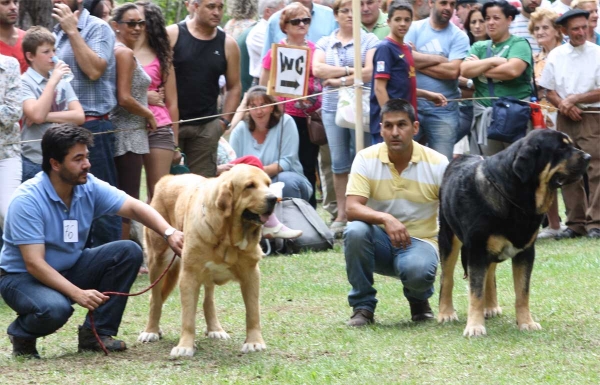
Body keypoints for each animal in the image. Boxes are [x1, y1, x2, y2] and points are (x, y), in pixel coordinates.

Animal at [138, 164, 276, 356]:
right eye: (249, 186)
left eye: (268, 184)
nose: (274, 198)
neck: (227, 237)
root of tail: (167, 178)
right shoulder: (189, 275)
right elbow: (188, 317)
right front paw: (185, 346)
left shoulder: (251, 274)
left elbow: (253, 311)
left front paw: (254, 342)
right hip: (157, 261)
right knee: (155, 299)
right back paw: (150, 331)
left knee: (208, 300)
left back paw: (215, 329)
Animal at [436, 129, 592, 336]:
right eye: (560, 148)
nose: (589, 157)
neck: (515, 197)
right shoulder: (477, 250)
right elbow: (475, 292)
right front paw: (475, 326)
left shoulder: (525, 252)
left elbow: (522, 292)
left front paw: (526, 322)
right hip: (449, 238)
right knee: (447, 277)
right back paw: (445, 313)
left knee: (490, 274)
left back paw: (490, 307)